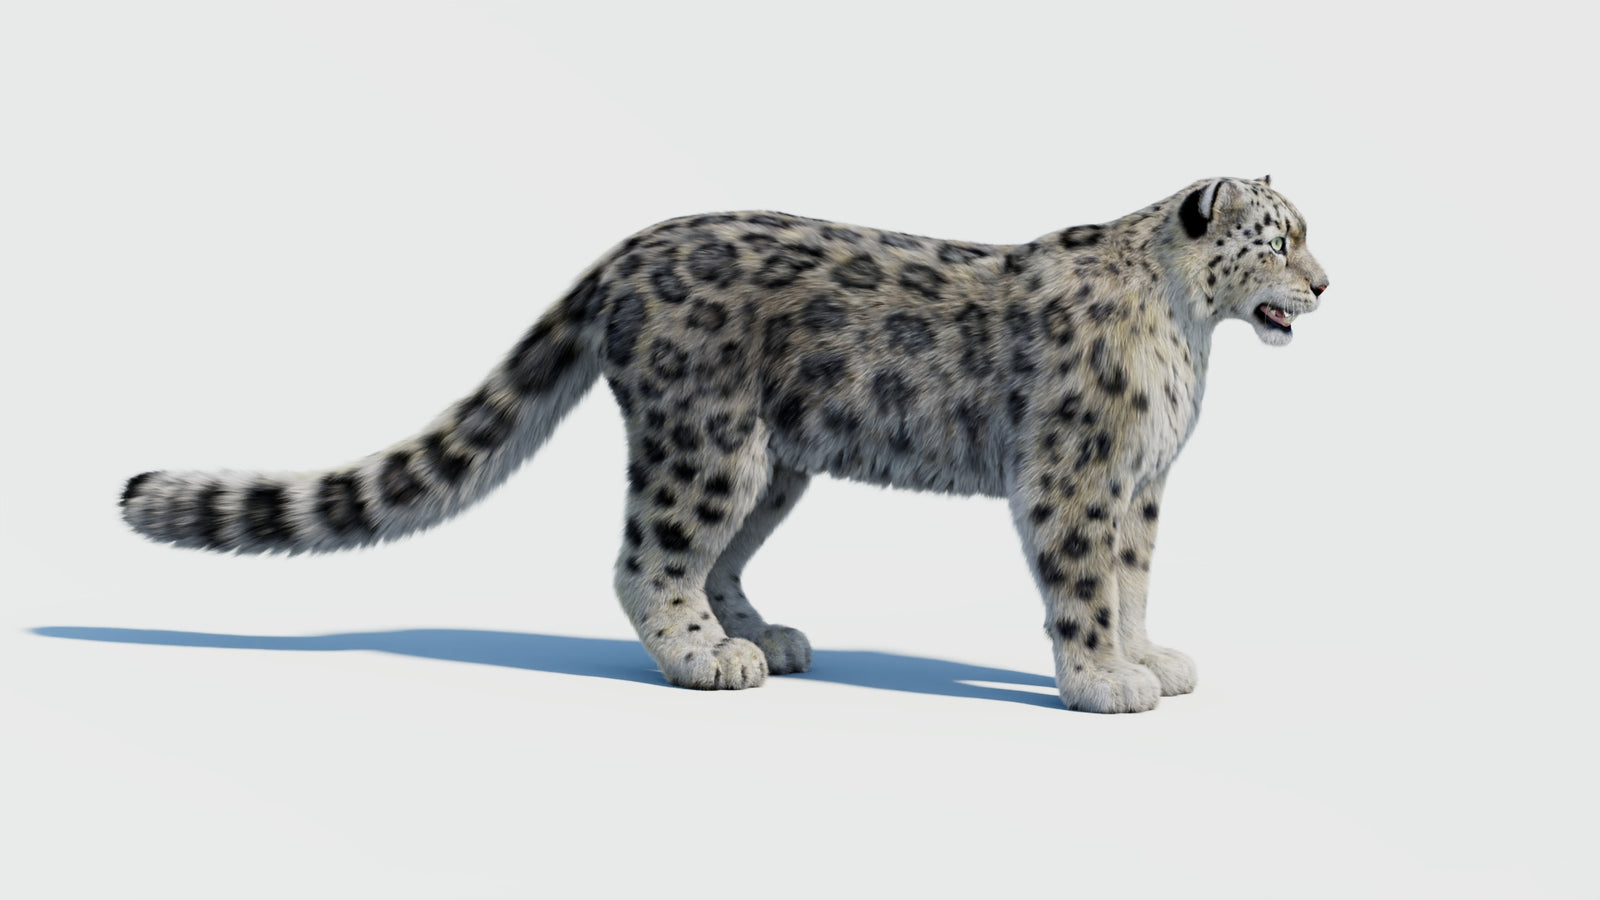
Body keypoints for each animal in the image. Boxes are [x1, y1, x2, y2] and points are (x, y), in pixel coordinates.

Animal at [121, 175, 1328, 713]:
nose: (1325, 285)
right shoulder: (1075, 476)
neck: (1190, 337)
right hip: (708, 442)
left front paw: (1148, 657)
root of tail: (627, 249)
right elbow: (1082, 583)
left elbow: (1131, 579)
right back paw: (707, 660)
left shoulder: (1141, 484)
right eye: (1281, 238)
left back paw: (761, 637)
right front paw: (1101, 680)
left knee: (717, 558)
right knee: (648, 555)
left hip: (773, 464)